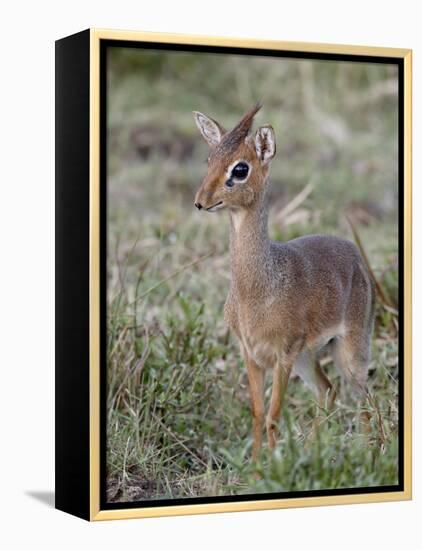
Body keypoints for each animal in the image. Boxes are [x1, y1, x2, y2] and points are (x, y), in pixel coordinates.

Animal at [193, 105, 374, 460]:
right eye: (210, 159)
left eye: (240, 168)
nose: (200, 201)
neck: (257, 291)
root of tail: (353, 251)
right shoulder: (251, 354)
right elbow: (258, 412)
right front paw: (257, 464)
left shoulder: (283, 355)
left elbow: (274, 415)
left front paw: (275, 464)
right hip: (309, 357)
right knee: (328, 390)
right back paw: (312, 452)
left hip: (350, 350)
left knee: (365, 398)